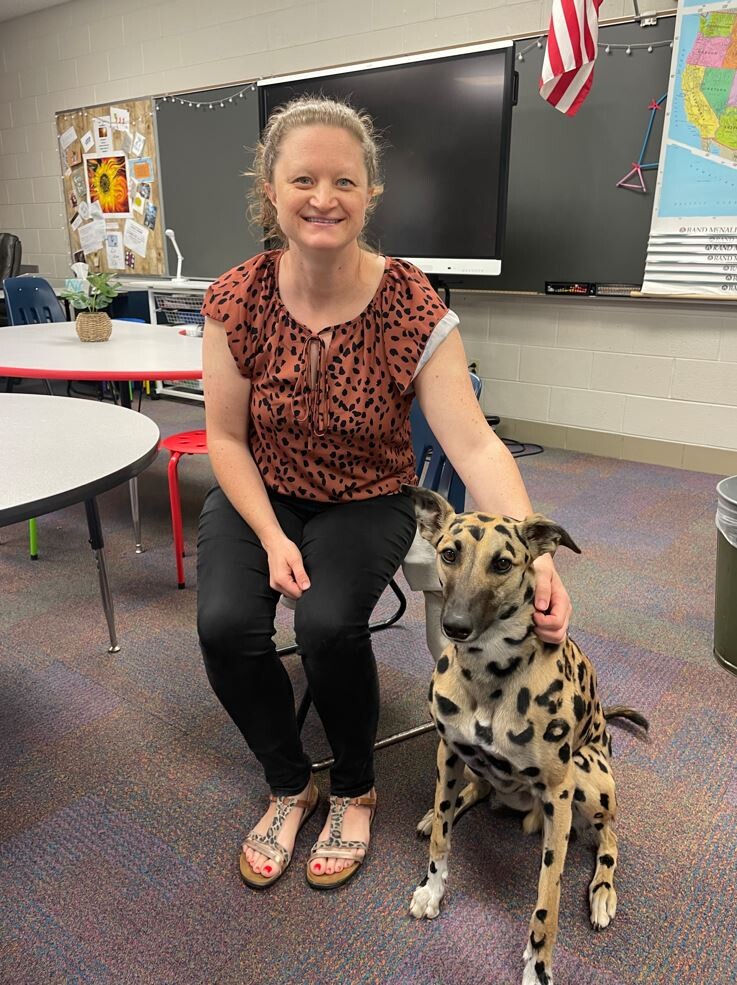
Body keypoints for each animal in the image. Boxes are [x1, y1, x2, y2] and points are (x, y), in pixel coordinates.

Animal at [400, 484, 648, 984]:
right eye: (449, 554)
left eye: (502, 564)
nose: (455, 626)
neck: (489, 671)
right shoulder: (448, 751)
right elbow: (441, 839)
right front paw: (432, 887)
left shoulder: (558, 793)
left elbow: (547, 897)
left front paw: (539, 964)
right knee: (470, 793)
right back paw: (441, 811)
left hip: (588, 778)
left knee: (610, 838)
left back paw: (602, 892)